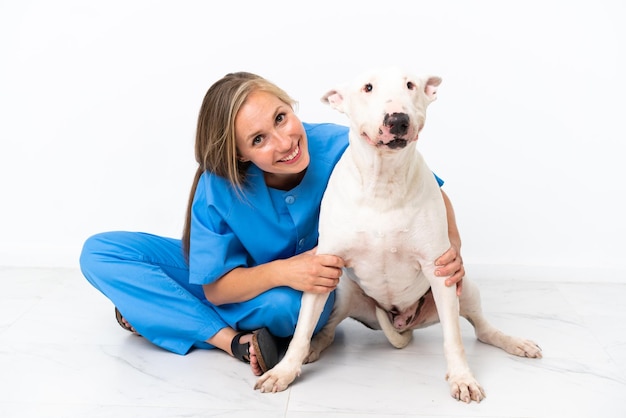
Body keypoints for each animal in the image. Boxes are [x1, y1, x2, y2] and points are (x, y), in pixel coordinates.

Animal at [254, 68, 540, 402]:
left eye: (410, 85)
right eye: (367, 87)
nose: (398, 119)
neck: (383, 180)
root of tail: (402, 321)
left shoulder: (440, 270)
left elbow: (454, 338)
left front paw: (462, 377)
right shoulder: (324, 267)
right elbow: (301, 332)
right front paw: (283, 372)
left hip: (463, 286)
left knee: (481, 329)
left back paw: (514, 342)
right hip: (344, 293)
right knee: (327, 330)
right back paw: (314, 348)